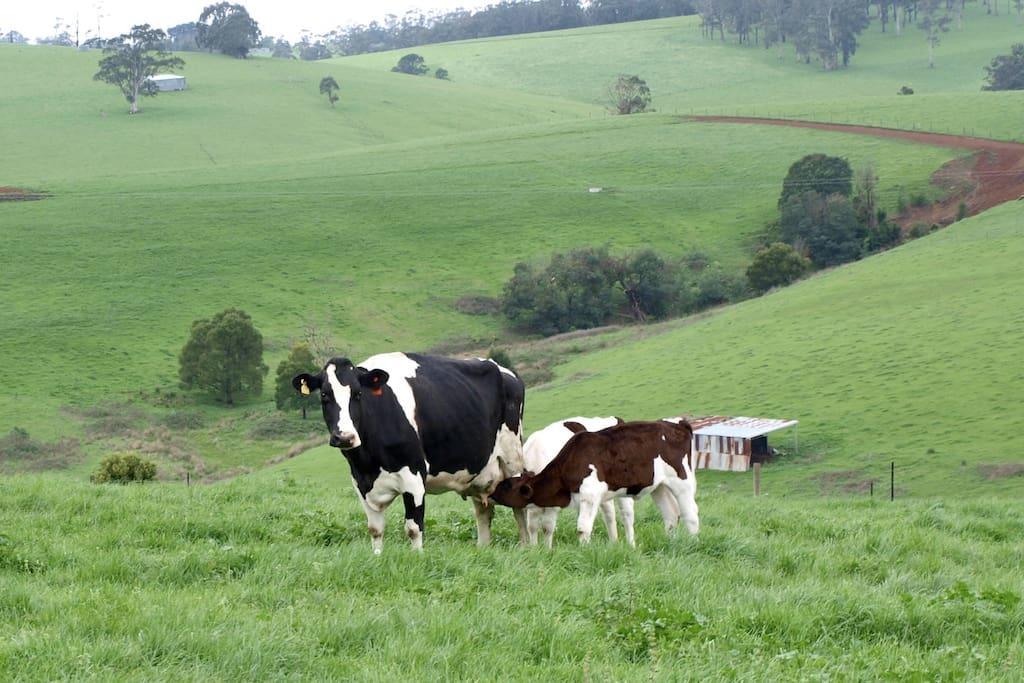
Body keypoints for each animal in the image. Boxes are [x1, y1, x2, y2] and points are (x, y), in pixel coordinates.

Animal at [292, 356, 524, 552]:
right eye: (324, 395)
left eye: (358, 394)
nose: (345, 437)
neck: (369, 462)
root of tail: (503, 369)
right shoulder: (360, 483)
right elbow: (375, 529)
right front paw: (377, 557)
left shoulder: (414, 477)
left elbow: (413, 528)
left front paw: (417, 557)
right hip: (480, 472)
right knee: (483, 512)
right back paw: (483, 548)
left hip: (513, 461)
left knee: (519, 507)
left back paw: (526, 546)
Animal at [487, 419, 696, 548]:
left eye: (506, 485)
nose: (490, 492)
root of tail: (679, 425)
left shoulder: (590, 494)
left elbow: (582, 528)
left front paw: (583, 552)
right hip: (659, 486)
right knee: (671, 514)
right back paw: (671, 544)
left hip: (681, 481)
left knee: (689, 514)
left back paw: (693, 543)